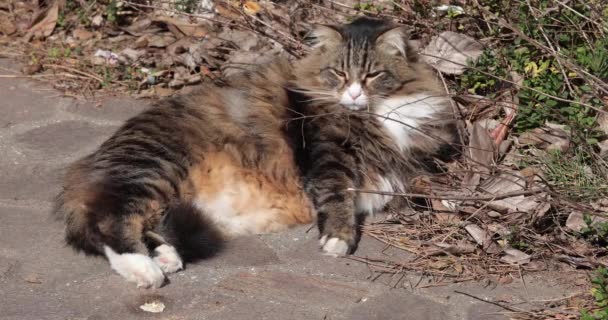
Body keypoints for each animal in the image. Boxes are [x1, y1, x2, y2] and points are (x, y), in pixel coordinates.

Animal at [54, 16, 458, 288]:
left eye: (372, 75)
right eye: (339, 74)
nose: (355, 94)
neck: (375, 115)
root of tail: (87, 166)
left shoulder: (410, 159)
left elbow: (431, 182)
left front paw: (454, 204)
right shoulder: (327, 158)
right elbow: (338, 197)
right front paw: (338, 240)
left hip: (166, 190)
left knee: (141, 223)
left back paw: (166, 257)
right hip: (155, 168)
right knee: (108, 223)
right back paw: (146, 270)